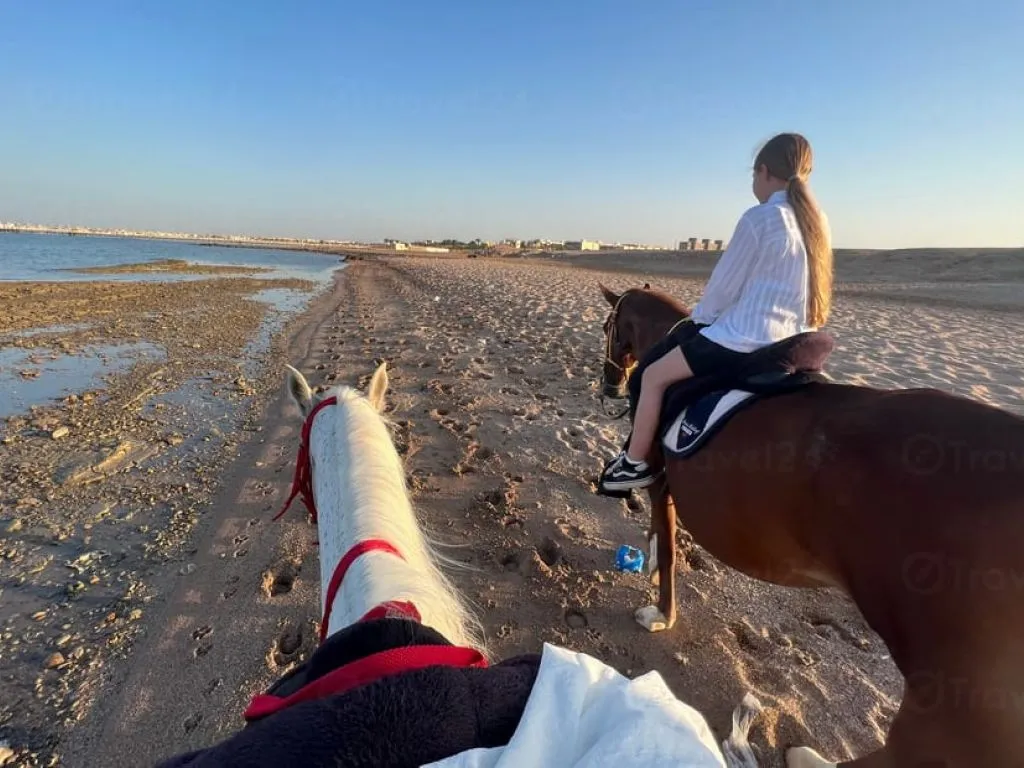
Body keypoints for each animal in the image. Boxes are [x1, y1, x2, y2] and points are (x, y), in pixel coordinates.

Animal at [595, 282, 1024, 768]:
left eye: (608, 326)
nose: (609, 384)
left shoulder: (659, 477)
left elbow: (667, 545)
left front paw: (661, 612)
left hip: (956, 705)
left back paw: (801, 755)